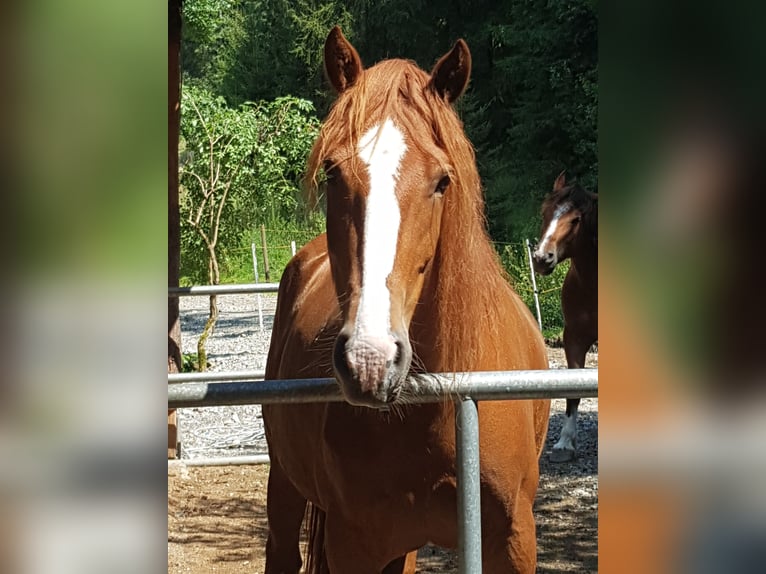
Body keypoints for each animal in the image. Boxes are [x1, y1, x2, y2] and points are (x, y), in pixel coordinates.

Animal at [264, 28, 552, 574]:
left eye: (441, 180)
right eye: (332, 173)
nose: (370, 361)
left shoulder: (514, 541)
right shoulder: (355, 545)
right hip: (285, 488)